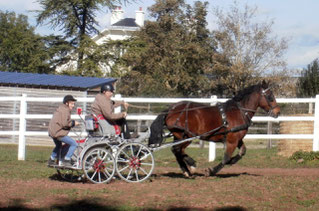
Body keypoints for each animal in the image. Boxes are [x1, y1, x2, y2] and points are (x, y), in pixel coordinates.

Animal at [149, 81, 282, 178]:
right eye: (270, 96)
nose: (278, 112)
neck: (239, 111)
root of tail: (171, 109)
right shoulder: (232, 141)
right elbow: (226, 158)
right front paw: (211, 170)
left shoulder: (237, 139)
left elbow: (242, 152)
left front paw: (231, 162)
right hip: (187, 136)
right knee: (177, 150)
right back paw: (191, 165)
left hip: (179, 136)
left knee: (176, 151)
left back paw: (187, 170)